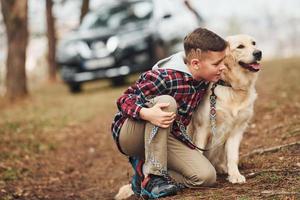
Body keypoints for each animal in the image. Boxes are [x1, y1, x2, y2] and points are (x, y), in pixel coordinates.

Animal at [190, 34, 262, 183]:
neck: (232, 86)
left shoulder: (237, 129)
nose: (258, 53)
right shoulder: (202, 127)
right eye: (240, 46)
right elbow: (199, 152)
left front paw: (235, 175)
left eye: (254, 43)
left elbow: (233, 156)